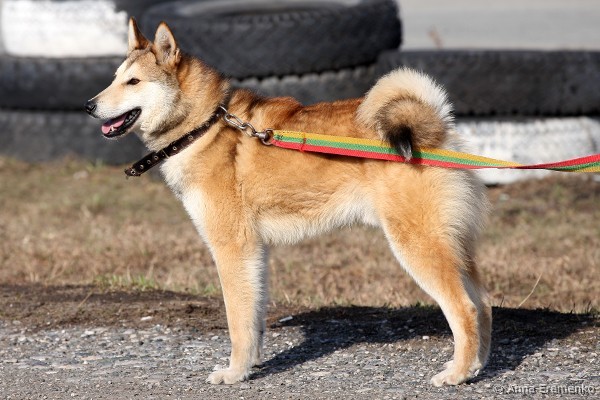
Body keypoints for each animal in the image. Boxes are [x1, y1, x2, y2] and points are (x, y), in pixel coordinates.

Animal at [85, 18, 491, 386]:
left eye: (133, 82)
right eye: (114, 77)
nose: (88, 106)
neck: (204, 127)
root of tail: (435, 128)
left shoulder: (232, 248)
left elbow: (237, 321)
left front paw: (234, 373)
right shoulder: (254, 253)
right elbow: (253, 319)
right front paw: (250, 366)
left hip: (417, 245)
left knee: (465, 309)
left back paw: (456, 374)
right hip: (454, 246)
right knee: (483, 305)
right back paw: (475, 367)